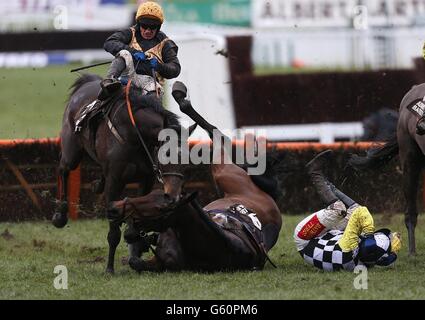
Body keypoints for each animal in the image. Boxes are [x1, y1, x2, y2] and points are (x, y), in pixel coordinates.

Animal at [112, 80, 282, 270]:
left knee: (218, 135)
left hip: (225, 171)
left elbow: (136, 261)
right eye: (152, 194)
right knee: (218, 136)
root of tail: (269, 196)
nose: (115, 207)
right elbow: (136, 259)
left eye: (161, 208)